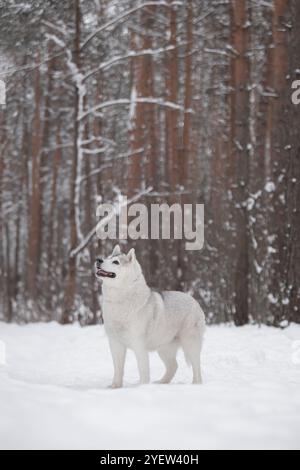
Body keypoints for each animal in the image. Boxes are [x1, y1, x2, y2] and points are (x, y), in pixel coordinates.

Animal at [95, 244, 204, 388]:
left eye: (116, 262)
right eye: (107, 257)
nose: (98, 260)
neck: (121, 300)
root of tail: (194, 300)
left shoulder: (139, 345)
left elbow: (143, 369)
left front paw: (142, 387)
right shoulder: (115, 344)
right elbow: (118, 369)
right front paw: (115, 387)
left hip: (190, 344)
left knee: (196, 368)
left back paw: (196, 385)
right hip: (164, 349)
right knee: (174, 366)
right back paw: (161, 383)